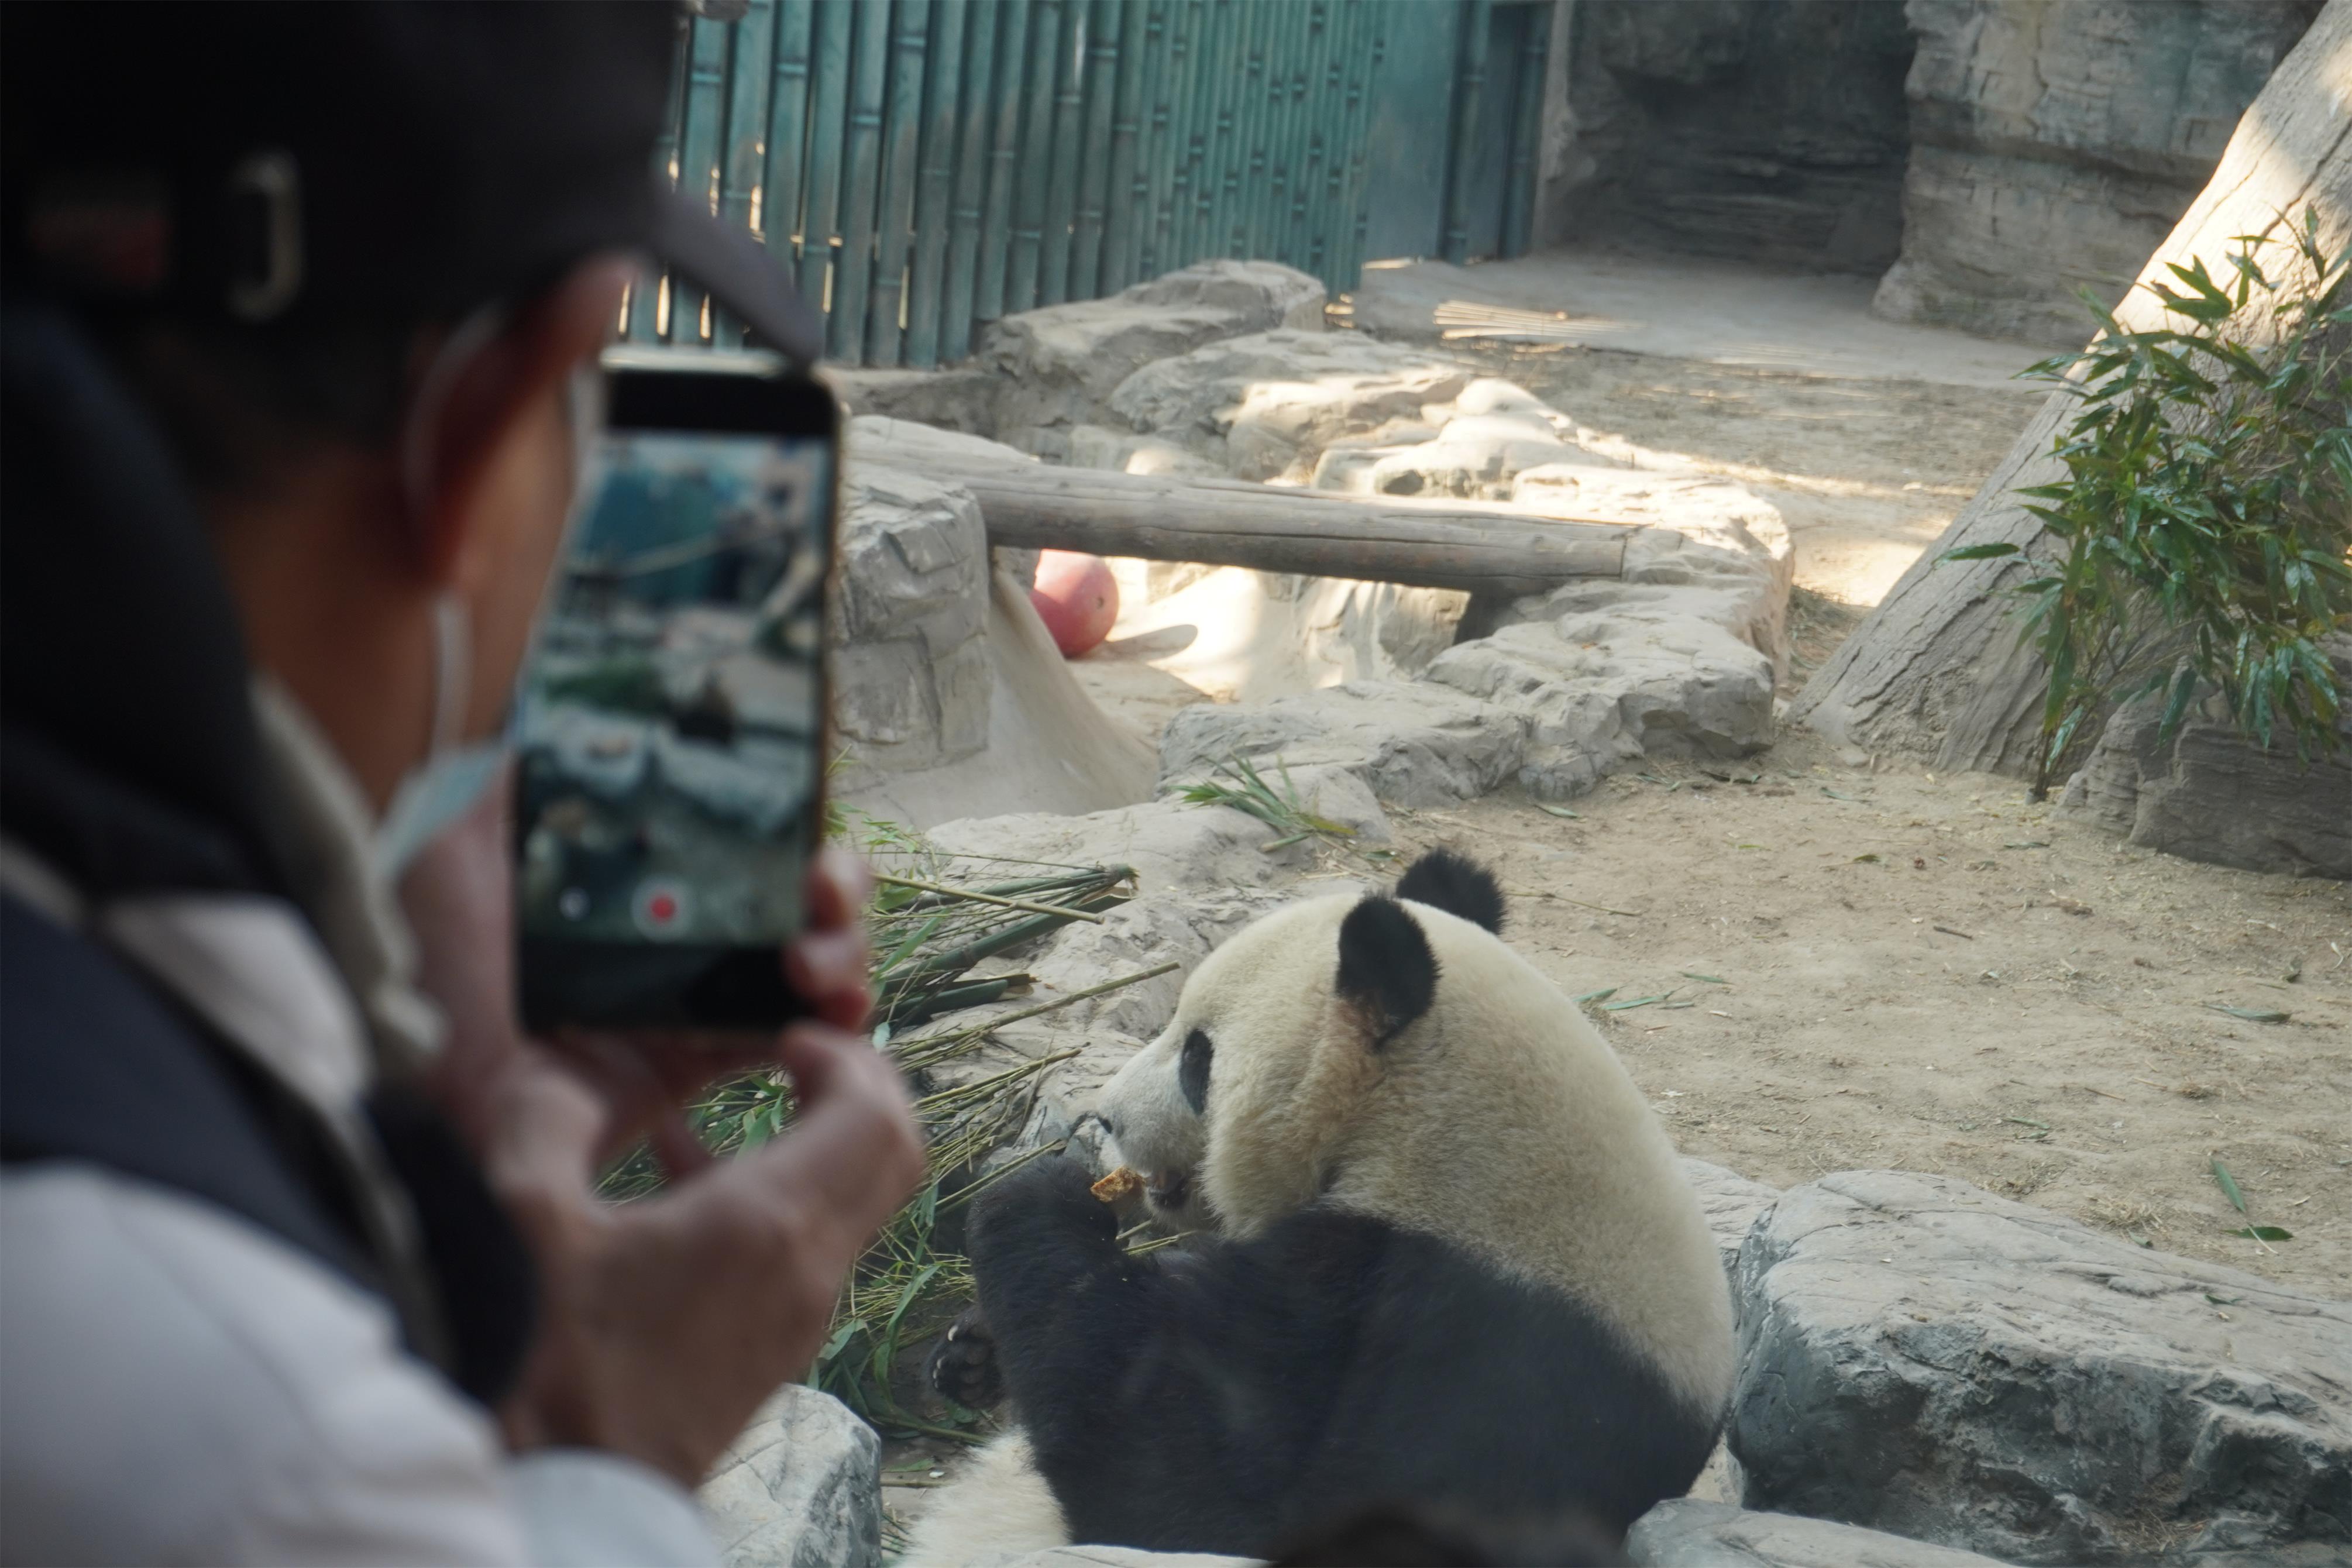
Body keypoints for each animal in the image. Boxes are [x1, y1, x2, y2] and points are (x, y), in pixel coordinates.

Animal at [907, 851, 1740, 1560]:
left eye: (1197, 1056)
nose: (1105, 1117)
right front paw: (972, 1351)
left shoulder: (1469, 1342)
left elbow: (1198, 1484)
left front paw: (1037, 1200)